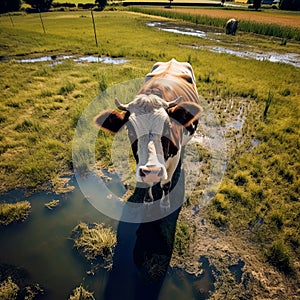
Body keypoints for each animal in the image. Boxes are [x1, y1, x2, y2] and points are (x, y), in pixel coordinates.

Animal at [95, 58, 203, 209]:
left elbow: (166, 184)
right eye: (130, 130)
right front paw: (147, 199)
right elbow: (147, 183)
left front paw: (165, 203)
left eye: (167, 127)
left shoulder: (173, 159)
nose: (153, 171)